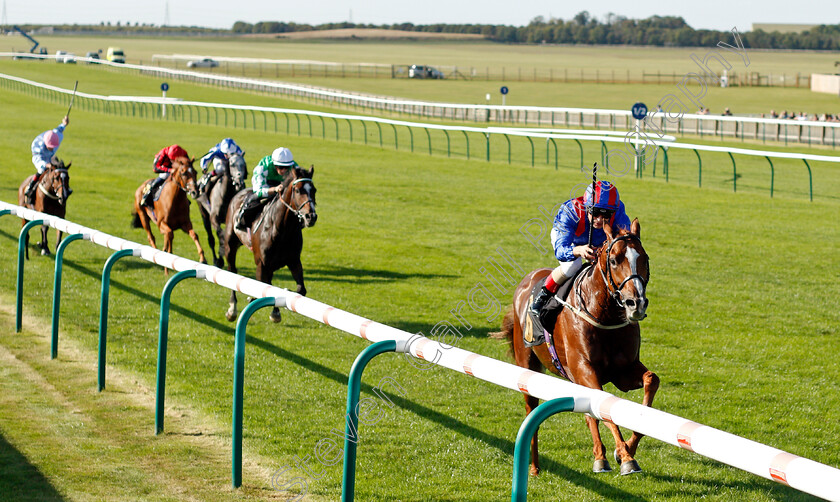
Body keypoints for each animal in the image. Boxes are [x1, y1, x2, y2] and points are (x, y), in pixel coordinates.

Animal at [221, 165, 316, 322]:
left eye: (314, 190)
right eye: (298, 190)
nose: (311, 216)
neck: (281, 229)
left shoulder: (293, 260)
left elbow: (300, 289)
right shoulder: (261, 263)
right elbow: (265, 286)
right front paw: (271, 309)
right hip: (230, 245)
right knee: (232, 271)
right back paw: (232, 309)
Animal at [496, 222, 660, 476]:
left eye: (644, 258)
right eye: (614, 260)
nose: (636, 304)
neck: (604, 316)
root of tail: (527, 281)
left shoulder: (623, 371)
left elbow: (651, 380)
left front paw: (626, 450)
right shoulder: (583, 368)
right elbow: (604, 404)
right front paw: (624, 457)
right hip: (528, 367)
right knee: (531, 411)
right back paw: (534, 467)